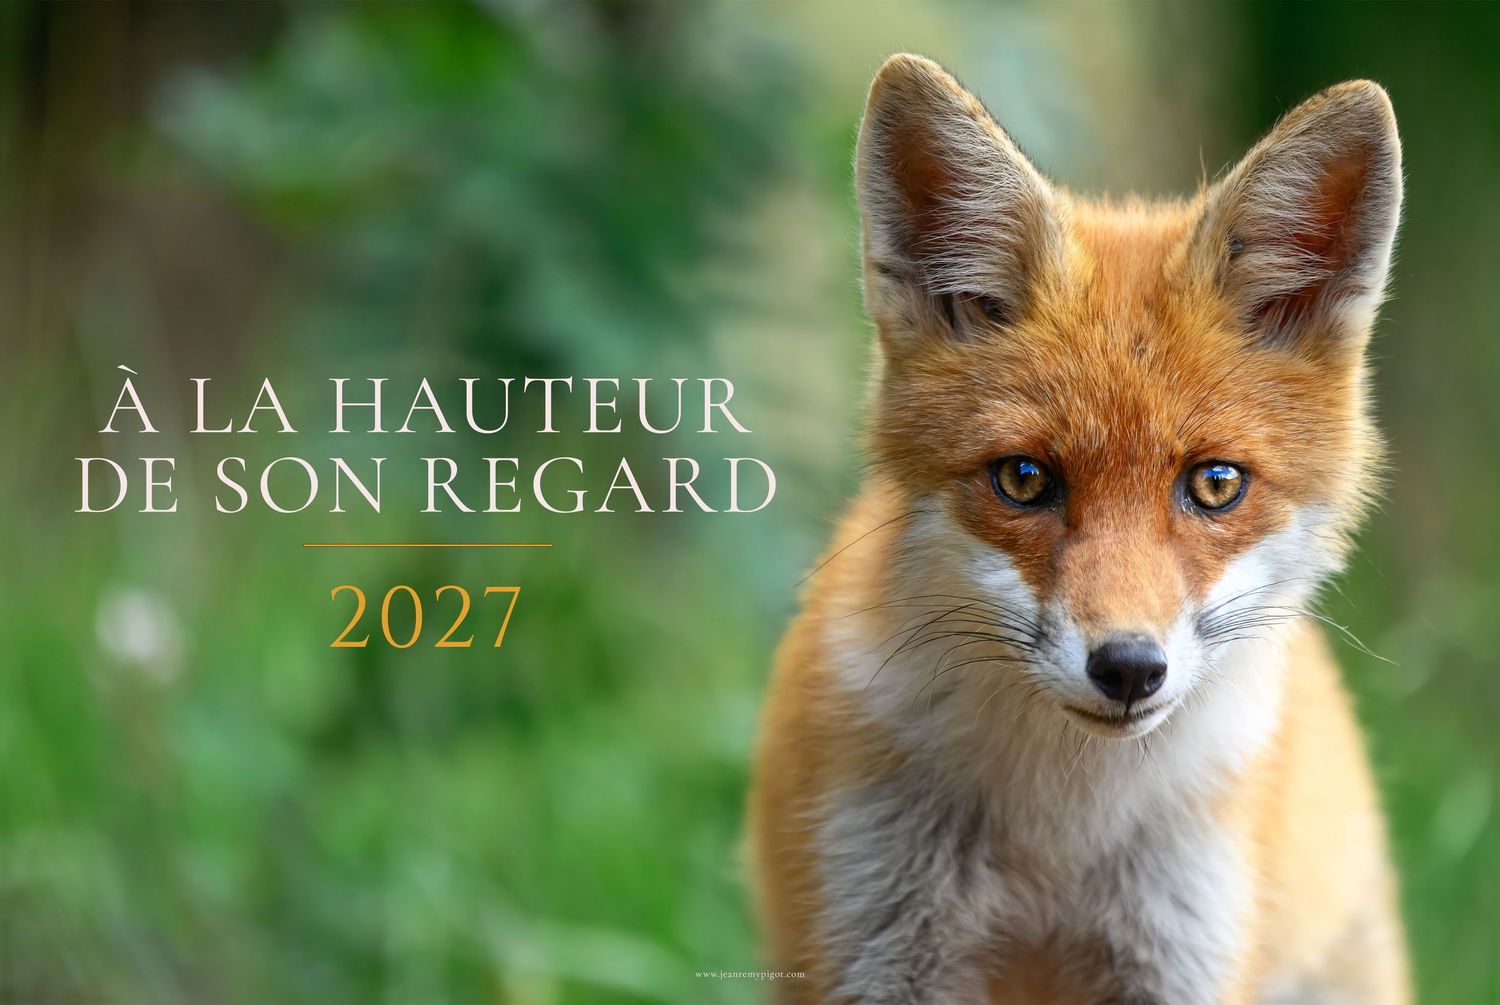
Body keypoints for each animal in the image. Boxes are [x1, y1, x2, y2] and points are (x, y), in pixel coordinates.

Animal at [748, 54, 1408, 1004]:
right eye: (1024, 479)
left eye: (1215, 485)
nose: (1128, 667)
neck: (1059, 836)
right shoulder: (875, 947)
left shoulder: (1180, 956)